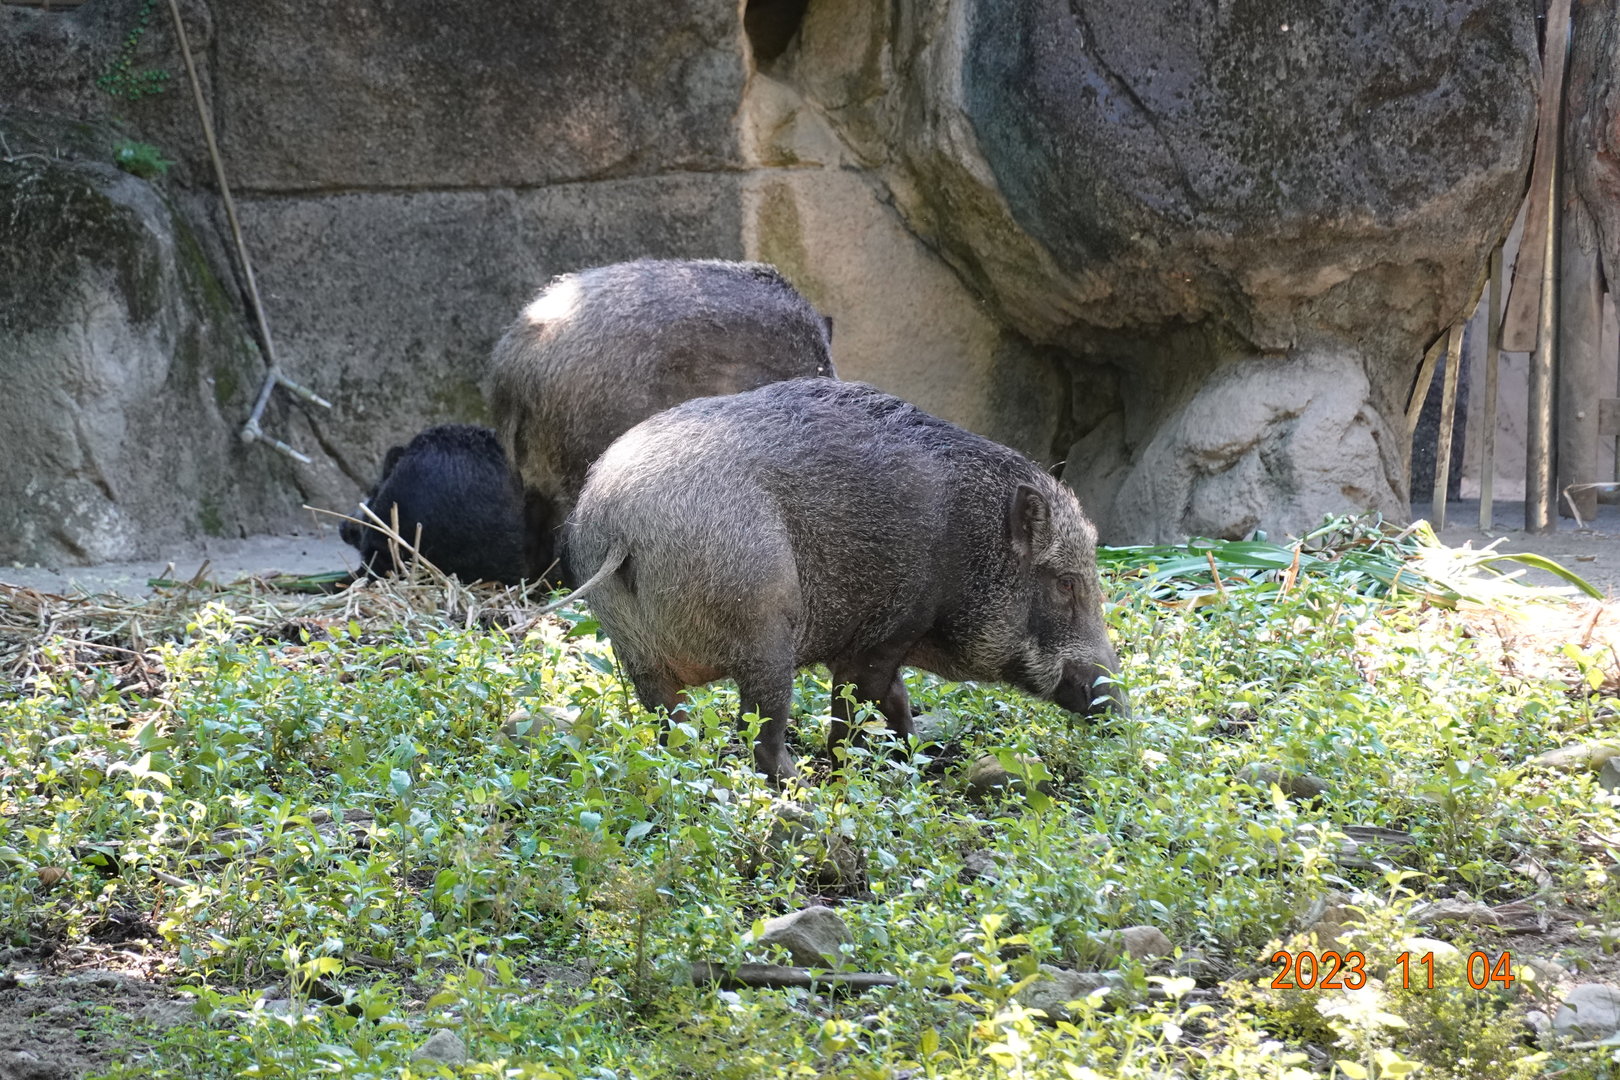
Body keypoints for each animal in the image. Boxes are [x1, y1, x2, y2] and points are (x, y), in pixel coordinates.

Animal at [558, 377, 1128, 785]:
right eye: (1066, 584)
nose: (1121, 713)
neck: (969, 544)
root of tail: (622, 522)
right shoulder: (885, 633)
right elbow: (855, 710)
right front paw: (848, 775)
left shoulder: (875, 640)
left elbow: (896, 703)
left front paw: (919, 764)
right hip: (765, 631)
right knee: (760, 733)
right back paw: (801, 790)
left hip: (638, 657)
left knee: (671, 731)